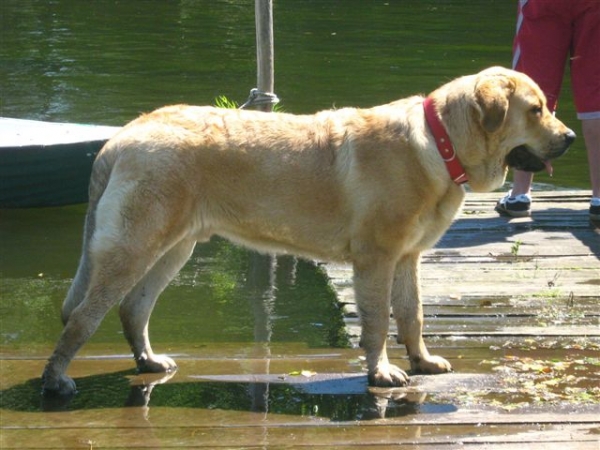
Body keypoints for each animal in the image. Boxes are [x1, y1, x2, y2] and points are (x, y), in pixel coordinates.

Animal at [39, 65, 576, 396]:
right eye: (535, 110)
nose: (570, 137)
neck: (441, 141)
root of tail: (122, 137)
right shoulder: (377, 259)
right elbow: (378, 322)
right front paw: (381, 372)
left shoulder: (407, 258)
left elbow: (412, 315)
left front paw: (422, 361)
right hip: (132, 247)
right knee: (82, 317)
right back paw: (55, 381)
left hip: (173, 247)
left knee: (134, 308)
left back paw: (148, 362)